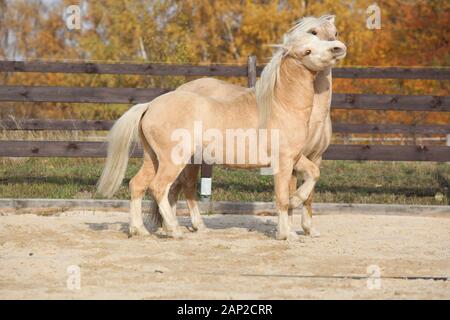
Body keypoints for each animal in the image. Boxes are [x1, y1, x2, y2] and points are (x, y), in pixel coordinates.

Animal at [96, 21, 346, 240]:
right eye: (307, 49)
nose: (338, 48)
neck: (281, 105)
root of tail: (149, 106)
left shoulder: (297, 158)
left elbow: (313, 173)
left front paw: (295, 219)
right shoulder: (282, 162)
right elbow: (282, 198)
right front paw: (287, 233)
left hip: (153, 159)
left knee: (138, 185)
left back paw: (139, 231)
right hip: (173, 161)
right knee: (159, 188)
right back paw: (175, 231)